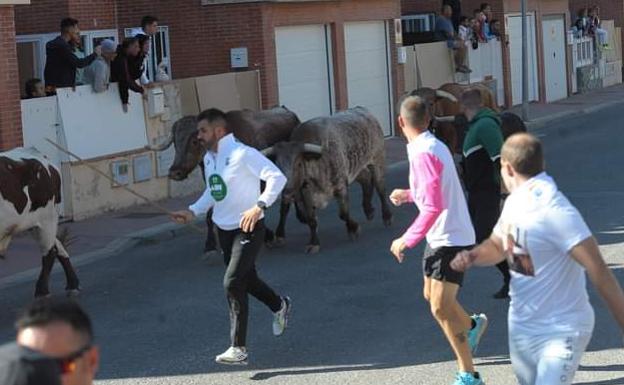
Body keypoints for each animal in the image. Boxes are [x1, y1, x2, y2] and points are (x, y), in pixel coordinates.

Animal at [0, 147, 80, 296]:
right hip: (35, 224)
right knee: (58, 245)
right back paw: (73, 284)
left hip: (46, 219)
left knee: (49, 252)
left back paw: (42, 291)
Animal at [262, 106, 390, 254]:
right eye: (276, 164)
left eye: (298, 164)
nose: (286, 192)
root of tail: (363, 110)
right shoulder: (306, 196)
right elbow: (311, 220)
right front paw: (314, 242)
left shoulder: (341, 186)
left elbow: (343, 213)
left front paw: (353, 228)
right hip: (356, 167)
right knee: (366, 179)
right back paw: (369, 210)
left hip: (377, 160)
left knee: (380, 188)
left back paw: (387, 216)